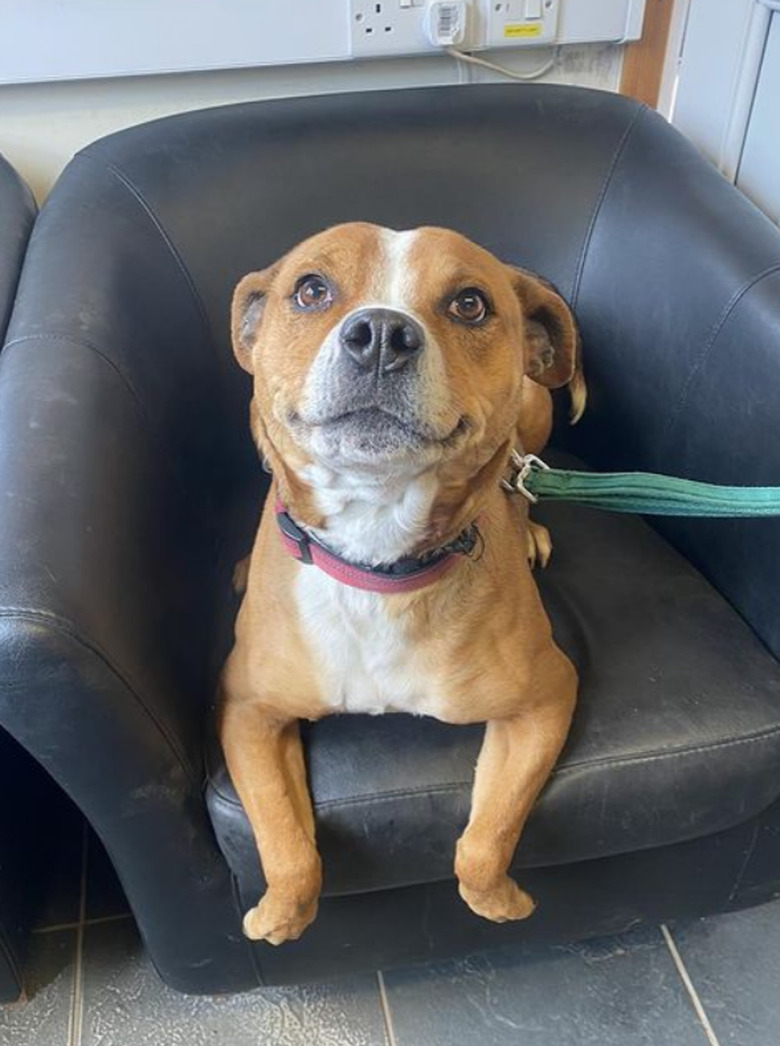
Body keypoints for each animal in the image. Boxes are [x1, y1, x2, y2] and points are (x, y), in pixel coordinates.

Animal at [218, 222, 585, 949]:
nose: (383, 333)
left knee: (524, 476)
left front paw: (501, 901)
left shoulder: (548, 696)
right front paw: (279, 915)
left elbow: (486, 839)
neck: (374, 556)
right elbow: (286, 844)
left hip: (533, 407)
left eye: (469, 304)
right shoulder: (248, 708)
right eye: (311, 290)